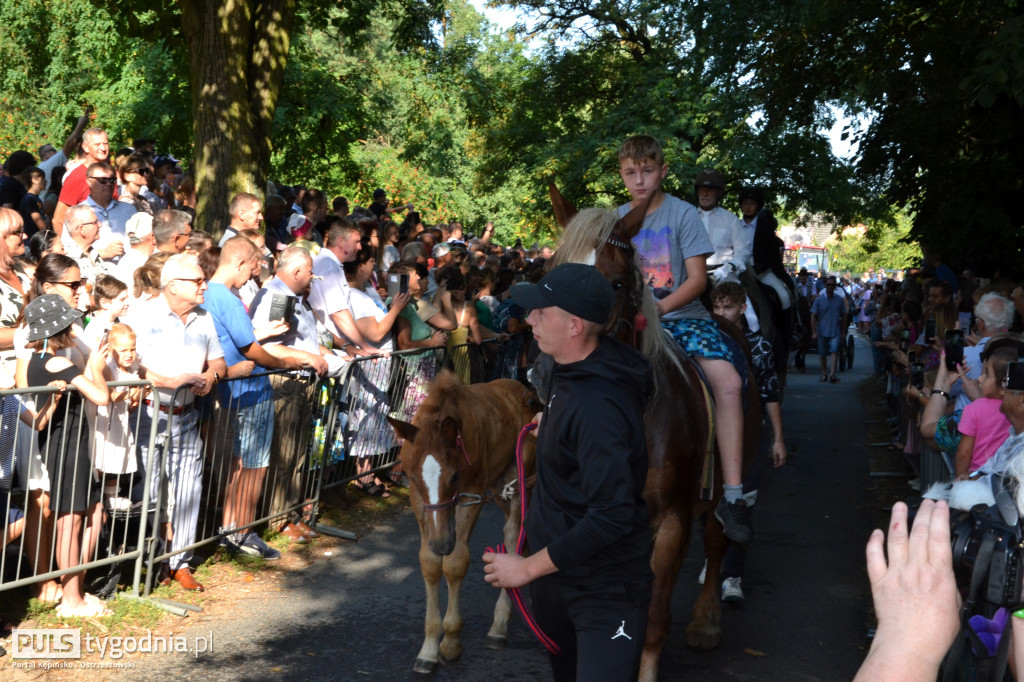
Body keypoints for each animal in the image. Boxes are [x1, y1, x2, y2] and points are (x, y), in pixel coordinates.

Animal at [387, 372, 540, 675]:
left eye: (454, 476)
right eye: (412, 476)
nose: (441, 543)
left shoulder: (472, 493)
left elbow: (455, 563)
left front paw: (450, 644)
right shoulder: (420, 502)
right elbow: (430, 563)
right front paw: (428, 649)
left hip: (518, 479)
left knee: (512, 535)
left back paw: (499, 626)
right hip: (500, 489)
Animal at [552, 187, 761, 679]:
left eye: (614, 283)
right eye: (551, 275)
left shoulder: (671, 521)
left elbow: (653, 620)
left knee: (718, 539)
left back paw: (706, 622)